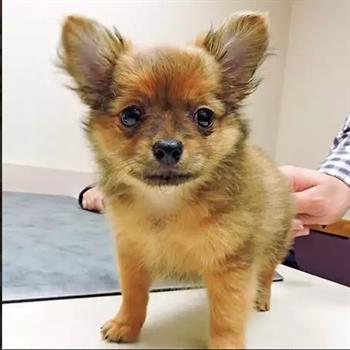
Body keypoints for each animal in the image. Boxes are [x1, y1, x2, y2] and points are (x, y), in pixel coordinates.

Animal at [58, 12, 294, 348]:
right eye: (130, 115)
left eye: (204, 117)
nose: (168, 147)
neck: (168, 204)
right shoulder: (133, 255)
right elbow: (134, 297)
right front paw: (125, 326)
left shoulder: (232, 265)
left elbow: (227, 316)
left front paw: (225, 344)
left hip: (274, 243)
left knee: (266, 273)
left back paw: (261, 298)